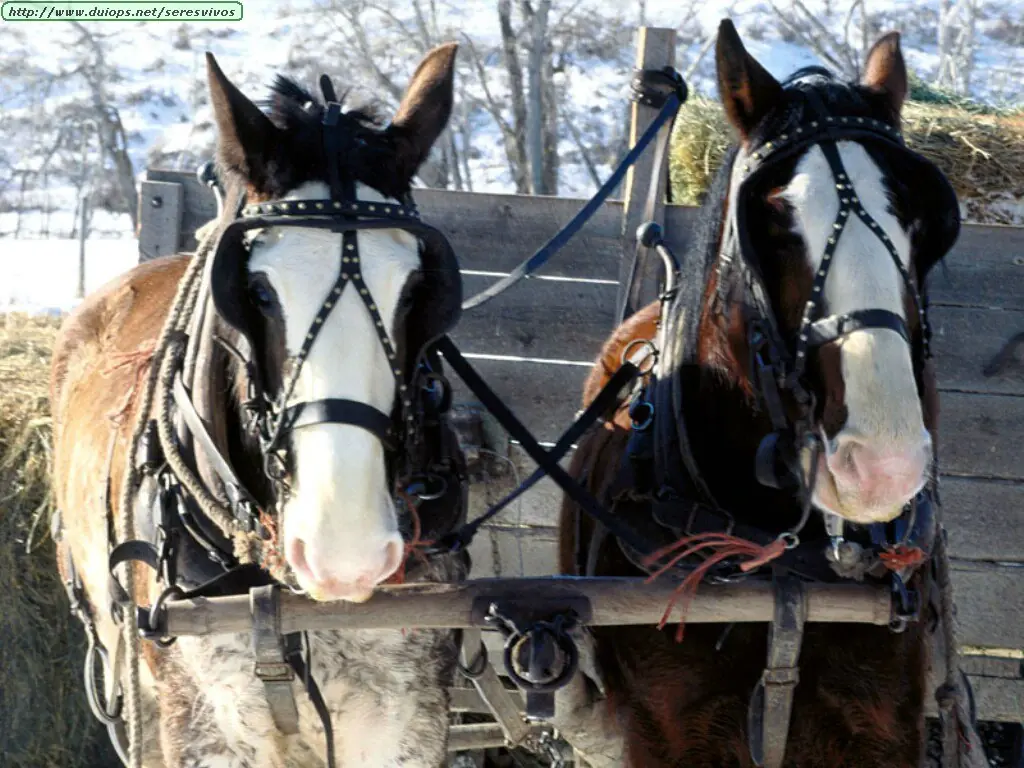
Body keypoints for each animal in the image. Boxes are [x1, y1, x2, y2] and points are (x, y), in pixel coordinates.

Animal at [559, 21, 963, 768]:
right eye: (774, 221)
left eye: (922, 223)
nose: (882, 466)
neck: (782, 568)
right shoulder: (665, 735)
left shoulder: (884, 727)